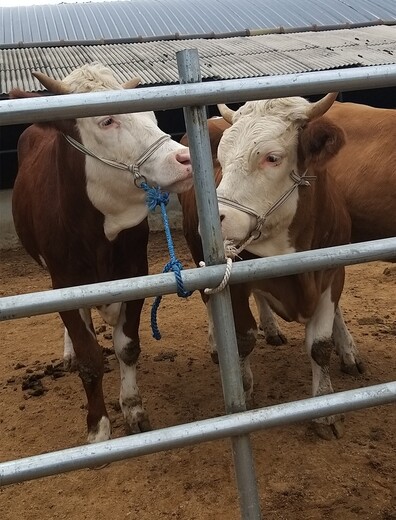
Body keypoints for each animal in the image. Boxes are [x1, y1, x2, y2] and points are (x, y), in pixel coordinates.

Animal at [10, 62, 193, 442]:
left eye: (153, 116)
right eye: (107, 120)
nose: (184, 158)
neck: (98, 234)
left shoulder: (135, 271)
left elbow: (127, 346)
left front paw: (133, 408)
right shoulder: (65, 281)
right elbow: (90, 359)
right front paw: (98, 428)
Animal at [179, 93, 366, 438]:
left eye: (272, 158)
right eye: (221, 160)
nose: (213, 222)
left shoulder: (333, 272)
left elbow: (319, 345)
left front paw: (325, 409)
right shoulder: (235, 285)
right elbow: (242, 340)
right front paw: (243, 391)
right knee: (211, 303)